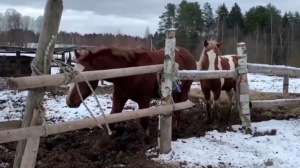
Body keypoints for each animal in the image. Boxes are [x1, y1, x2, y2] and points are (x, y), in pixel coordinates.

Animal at [65, 45, 197, 144]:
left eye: (84, 78)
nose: (70, 101)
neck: (128, 72)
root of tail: (187, 53)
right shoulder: (119, 97)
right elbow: (113, 117)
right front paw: (103, 143)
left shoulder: (144, 100)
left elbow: (144, 120)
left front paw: (146, 138)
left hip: (184, 90)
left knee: (178, 110)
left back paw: (175, 130)